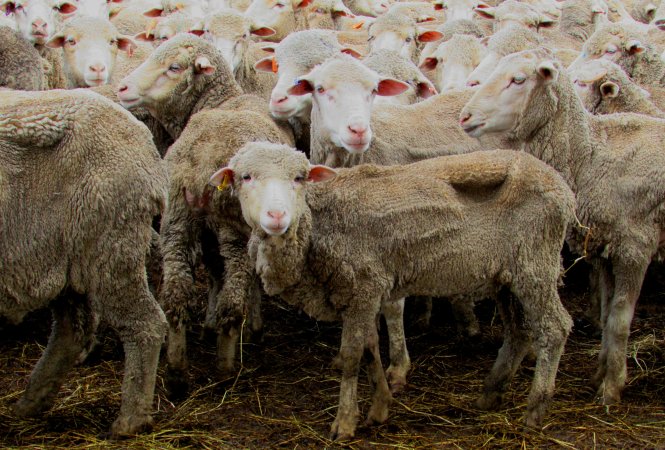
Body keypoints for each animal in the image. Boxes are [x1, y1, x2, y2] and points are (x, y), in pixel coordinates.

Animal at [0, 88, 166, 440]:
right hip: (66, 255)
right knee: (73, 329)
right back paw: (31, 401)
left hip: (110, 243)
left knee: (144, 325)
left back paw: (130, 420)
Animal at [210, 141, 572, 440]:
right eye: (245, 177)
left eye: (300, 178)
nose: (277, 216)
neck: (317, 227)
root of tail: (561, 185)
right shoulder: (363, 292)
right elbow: (371, 348)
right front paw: (380, 407)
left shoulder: (364, 285)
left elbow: (353, 357)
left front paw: (345, 422)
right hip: (507, 274)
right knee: (519, 331)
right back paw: (490, 393)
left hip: (535, 262)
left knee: (554, 328)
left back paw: (534, 409)